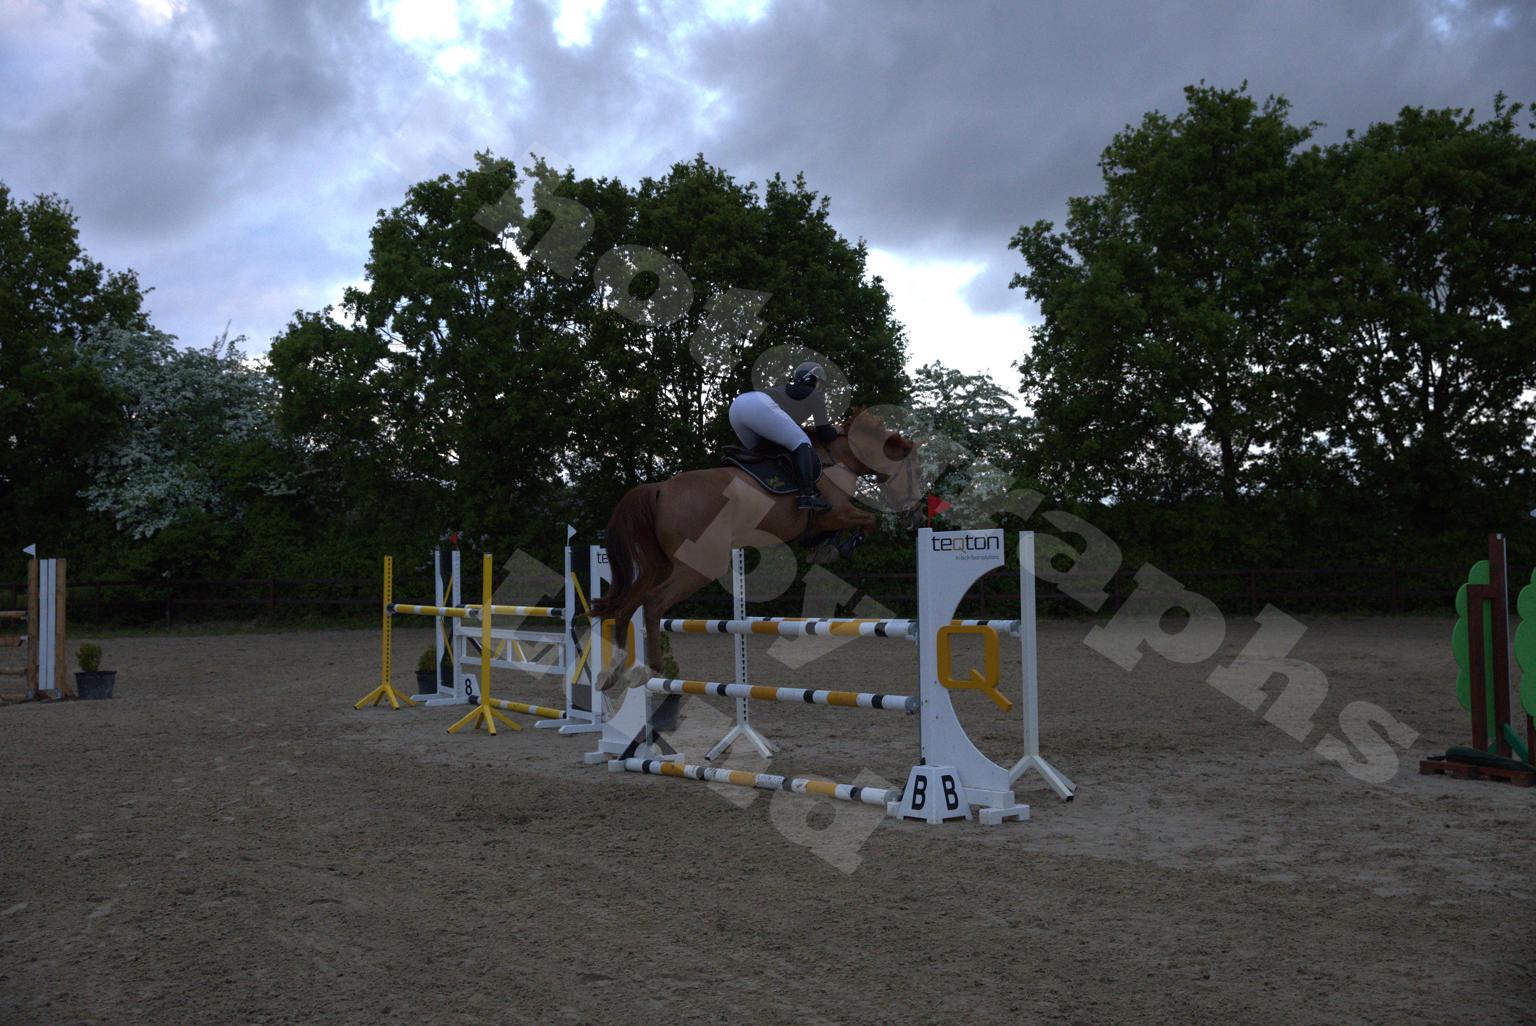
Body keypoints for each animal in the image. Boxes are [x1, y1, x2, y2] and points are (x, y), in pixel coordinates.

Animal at [590, 408, 925, 700]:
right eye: (915, 472)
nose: (917, 515)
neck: (841, 458)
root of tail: (659, 489)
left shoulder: (824, 521)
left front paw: (824, 549)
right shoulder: (836, 512)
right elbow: (868, 521)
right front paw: (841, 547)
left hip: (660, 565)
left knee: (627, 604)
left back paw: (612, 671)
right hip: (698, 567)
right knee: (652, 603)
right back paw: (646, 669)